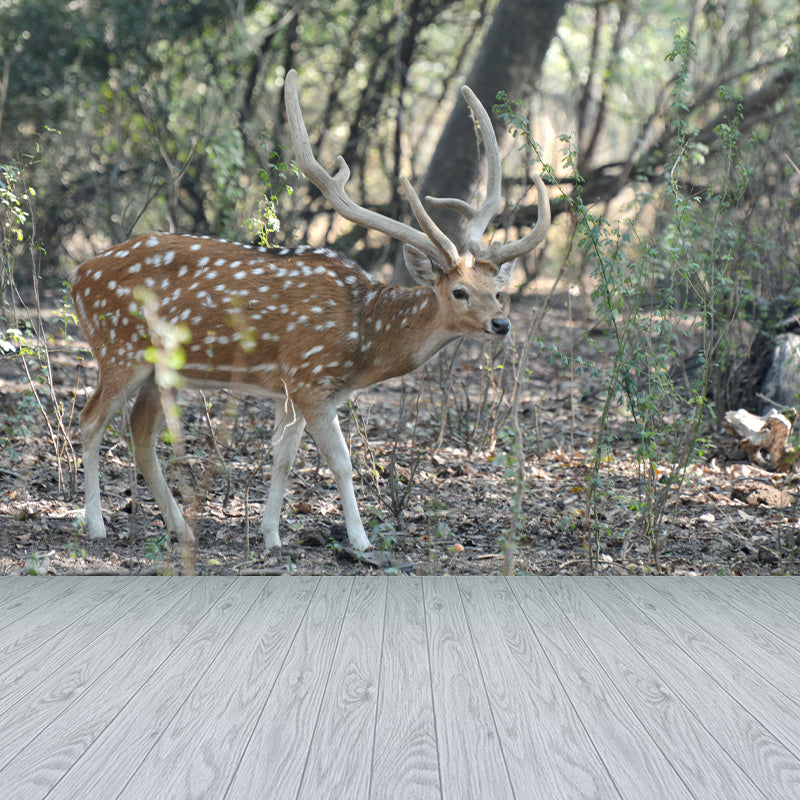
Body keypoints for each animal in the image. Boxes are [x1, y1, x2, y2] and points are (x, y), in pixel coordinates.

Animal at [71, 68, 550, 552]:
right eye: (458, 291)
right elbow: (340, 461)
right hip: (119, 350)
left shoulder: (293, 390)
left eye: (496, 289)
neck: (364, 339)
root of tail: (77, 275)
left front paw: (271, 536)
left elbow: (283, 459)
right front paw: (360, 539)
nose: (501, 323)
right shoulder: (310, 379)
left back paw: (182, 529)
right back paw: (96, 524)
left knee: (141, 433)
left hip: (158, 369)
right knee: (90, 421)